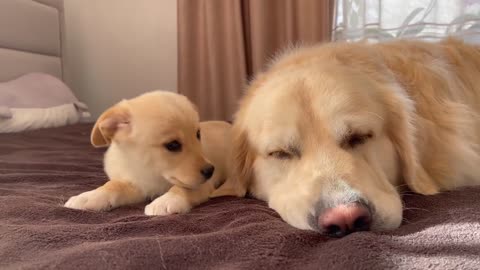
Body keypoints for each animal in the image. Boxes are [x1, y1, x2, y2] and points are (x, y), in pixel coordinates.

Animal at [65, 90, 231, 215]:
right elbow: (113, 185)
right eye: (173, 145)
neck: (152, 171)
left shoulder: (203, 184)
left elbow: (183, 188)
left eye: (198, 135)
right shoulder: (136, 184)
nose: (211, 171)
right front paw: (91, 196)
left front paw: (167, 200)